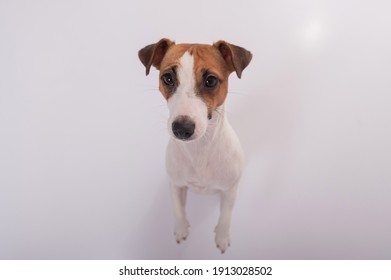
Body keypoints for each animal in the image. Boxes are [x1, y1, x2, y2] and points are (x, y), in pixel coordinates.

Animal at [139, 37, 253, 254]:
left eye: (210, 80)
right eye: (168, 78)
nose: (182, 128)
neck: (200, 150)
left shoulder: (230, 189)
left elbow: (226, 215)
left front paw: (222, 236)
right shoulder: (175, 184)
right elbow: (177, 209)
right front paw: (181, 229)